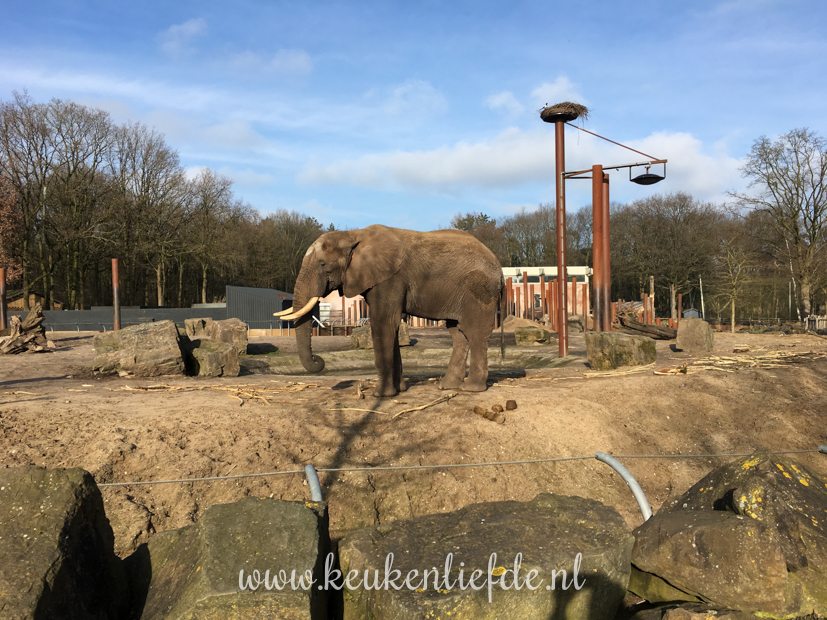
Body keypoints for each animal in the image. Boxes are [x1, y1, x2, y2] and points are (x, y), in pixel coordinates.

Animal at [276, 225, 504, 397]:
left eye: (323, 265)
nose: (319, 361)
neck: (353, 234)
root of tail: (499, 267)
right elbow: (391, 326)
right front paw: (399, 390)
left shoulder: (389, 279)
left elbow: (383, 323)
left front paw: (380, 395)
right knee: (458, 333)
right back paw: (447, 386)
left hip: (479, 292)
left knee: (474, 333)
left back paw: (472, 388)